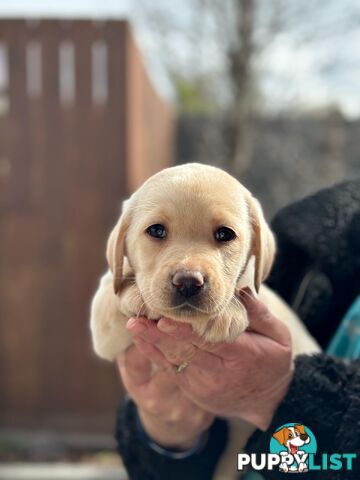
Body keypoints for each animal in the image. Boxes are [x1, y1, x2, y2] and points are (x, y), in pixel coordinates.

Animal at [89, 163, 318, 478]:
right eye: (156, 230)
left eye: (224, 234)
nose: (187, 282)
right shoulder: (105, 329)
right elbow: (110, 294)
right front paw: (135, 294)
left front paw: (225, 313)